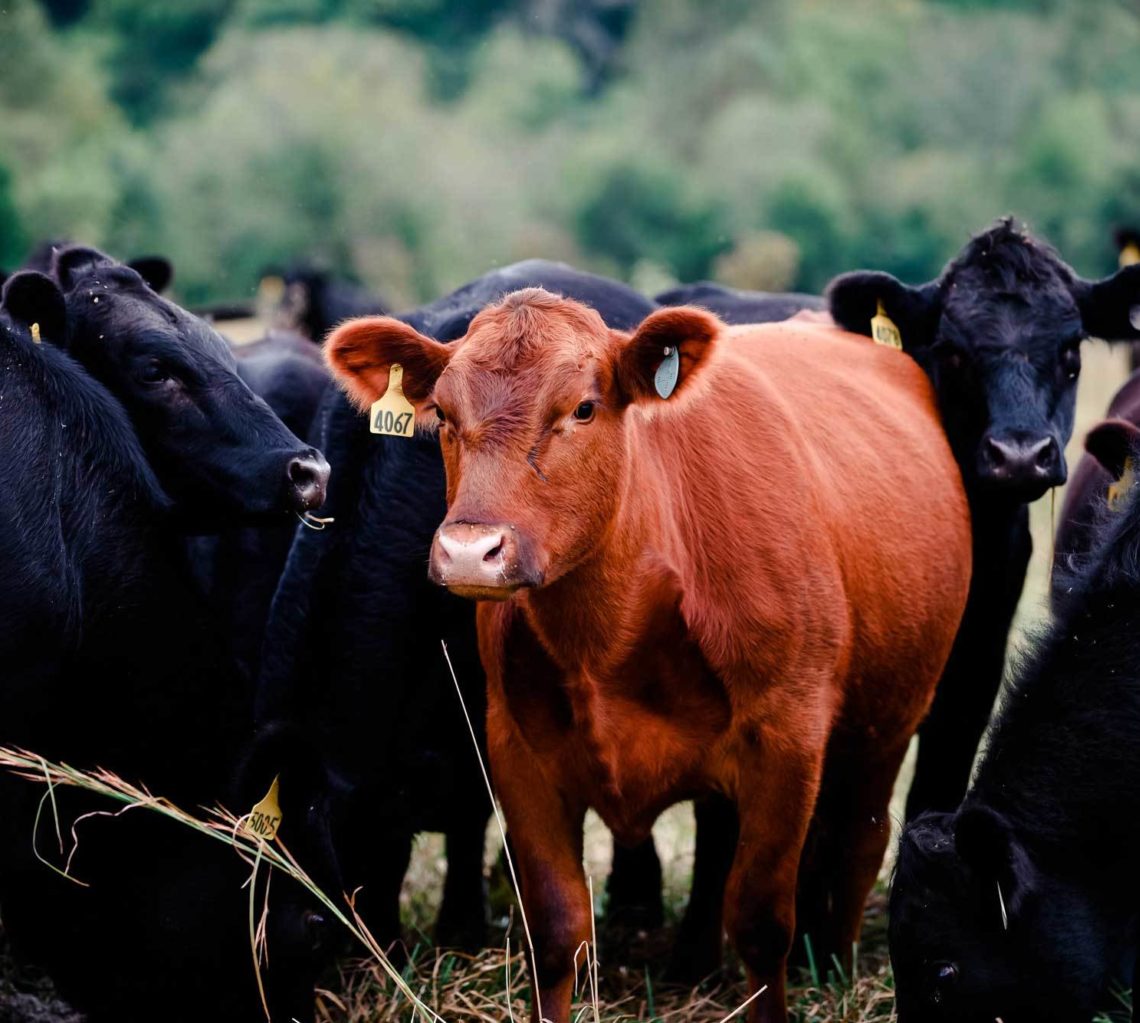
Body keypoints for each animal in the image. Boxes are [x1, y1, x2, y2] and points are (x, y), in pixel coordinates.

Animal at [328, 291, 971, 1021]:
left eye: (583, 408)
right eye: (442, 414)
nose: (470, 551)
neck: (612, 630)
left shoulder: (789, 738)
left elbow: (761, 918)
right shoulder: (516, 749)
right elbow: (556, 925)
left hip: (889, 722)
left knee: (861, 839)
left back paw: (833, 966)